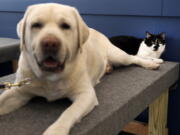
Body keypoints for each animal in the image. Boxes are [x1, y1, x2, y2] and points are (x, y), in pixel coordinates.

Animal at [0, 3, 162, 135]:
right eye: (36, 25)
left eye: (65, 26)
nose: (50, 43)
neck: (50, 78)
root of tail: (96, 30)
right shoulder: (19, 91)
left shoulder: (86, 95)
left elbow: (68, 113)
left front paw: (56, 130)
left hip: (118, 56)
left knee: (133, 58)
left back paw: (152, 63)